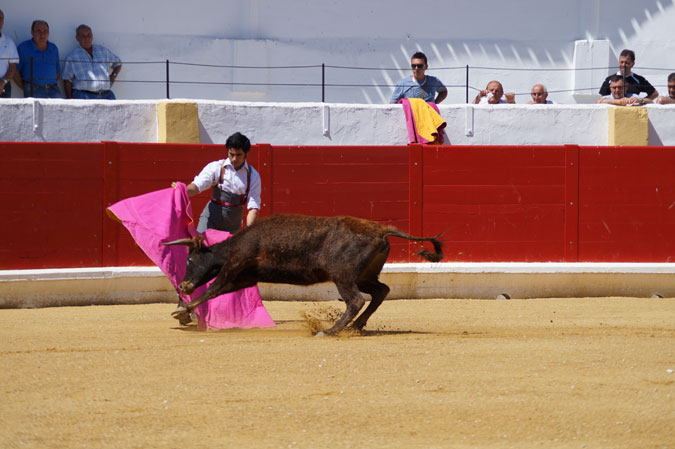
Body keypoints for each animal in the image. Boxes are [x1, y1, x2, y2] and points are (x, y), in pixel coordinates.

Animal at [161, 214, 440, 336]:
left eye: (189, 259)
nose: (184, 285)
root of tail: (380, 229)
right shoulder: (245, 277)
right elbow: (218, 290)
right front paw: (183, 310)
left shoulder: (234, 268)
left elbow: (213, 288)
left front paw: (182, 309)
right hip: (364, 276)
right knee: (381, 291)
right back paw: (356, 326)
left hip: (343, 275)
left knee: (356, 300)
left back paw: (331, 330)